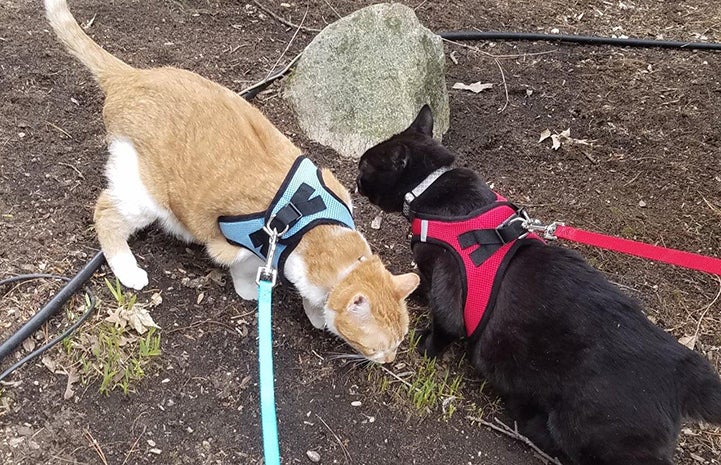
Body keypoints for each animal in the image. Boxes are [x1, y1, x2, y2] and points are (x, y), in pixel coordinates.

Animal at [45, 0, 420, 362]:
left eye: (401, 341)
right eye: (377, 348)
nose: (389, 361)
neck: (314, 226)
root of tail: (131, 77)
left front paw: (315, 314)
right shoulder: (242, 248)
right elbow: (244, 270)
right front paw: (252, 293)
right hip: (145, 193)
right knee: (105, 212)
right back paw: (128, 269)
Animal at [356, 105, 720, 464]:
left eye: (364, 166)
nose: (356, 180)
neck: (431, 187)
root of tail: (682, 370)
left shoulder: (448, 285)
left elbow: (443, 323)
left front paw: (425, 346)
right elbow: (422, 285)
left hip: (587, 429)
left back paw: (527, 420)